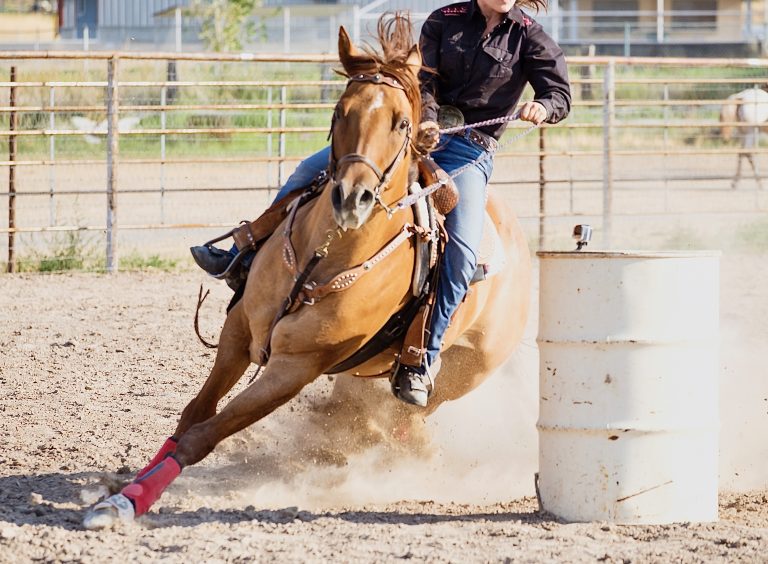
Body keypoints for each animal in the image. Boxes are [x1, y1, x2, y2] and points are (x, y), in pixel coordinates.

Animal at [83, 14, 532, 529]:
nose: (352, 198)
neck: (327, 256)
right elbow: (193, 415)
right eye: (339, 112)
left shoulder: (293, 369)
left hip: (463, 373)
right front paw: (120, 486)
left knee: (405, 419)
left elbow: (203, 435)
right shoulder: (239, 330)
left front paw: (127, 503)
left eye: (401, 122)